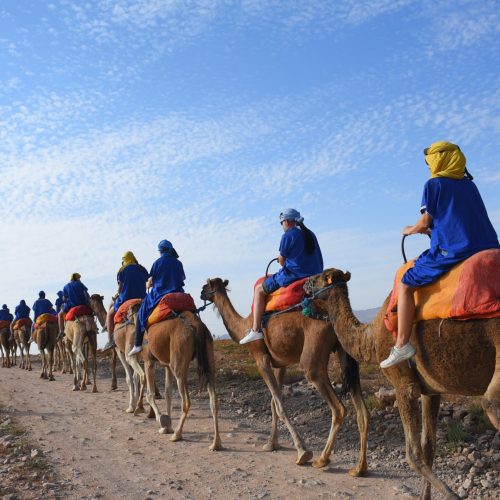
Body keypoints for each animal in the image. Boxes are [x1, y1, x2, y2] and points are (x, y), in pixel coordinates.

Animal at [140, 310, 220, 452]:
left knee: (186, 401)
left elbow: (150, 394)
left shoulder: (148, 360)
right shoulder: (166, 365)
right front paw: (167, 427)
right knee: (213, 400)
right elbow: (168, 393)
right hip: (208, 358)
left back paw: (177, 435)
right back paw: (216, 444)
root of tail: (196, 325)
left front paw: (162, 420)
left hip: (178, 361)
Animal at [201, 278, 370, 472]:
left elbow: (280, 406)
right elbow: (274, 402)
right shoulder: (279, 364)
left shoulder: (261, 359)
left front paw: (302, 452)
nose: (200, 294)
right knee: (362, 412)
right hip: (346, 350)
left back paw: (322, 459)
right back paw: (359, 469)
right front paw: (271, 444)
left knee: (338, 407)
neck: (243, 327)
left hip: (312, 359)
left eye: (206, 286)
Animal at [304, 270, 500, 500]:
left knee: (489, 403)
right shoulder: (430, 391)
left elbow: (413, 455)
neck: (371, 337)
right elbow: (428, 446)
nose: (303, 284)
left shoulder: (404, 386)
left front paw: (453, 496)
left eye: (316, 278)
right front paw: (425, 496)